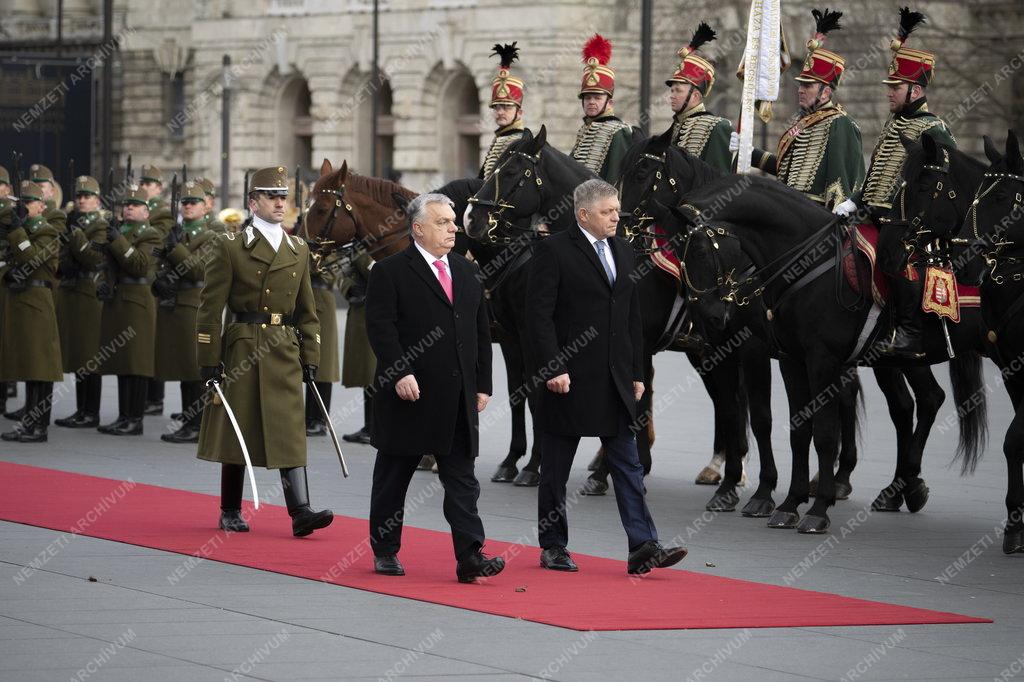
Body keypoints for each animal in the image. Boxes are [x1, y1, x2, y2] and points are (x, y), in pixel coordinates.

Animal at [462, 124, 598, 481]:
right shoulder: (512, 335)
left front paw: (535, 464)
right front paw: (513, 459)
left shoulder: (531, 333)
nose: (471, 219)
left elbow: (539, 394)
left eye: (510, 172)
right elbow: (517, 393)